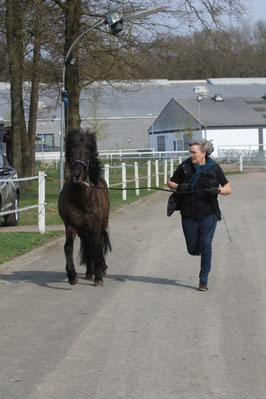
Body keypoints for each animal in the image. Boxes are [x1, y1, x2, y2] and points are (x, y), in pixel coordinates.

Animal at [58, 127, 111, 284]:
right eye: (71, 152)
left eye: (87, 153)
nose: (77, 174)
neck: (82, 199)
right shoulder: (71, 225)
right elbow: (68, 247)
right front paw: (72, 275)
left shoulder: (96, 225)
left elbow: (96, 247)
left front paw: (98, 276)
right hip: (83, 230)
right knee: (87, 244)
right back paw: (89, 272)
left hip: (101, 225)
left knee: (98, 244)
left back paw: (100, 270)